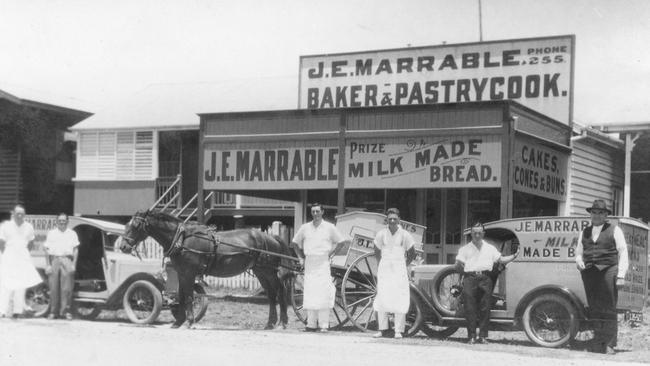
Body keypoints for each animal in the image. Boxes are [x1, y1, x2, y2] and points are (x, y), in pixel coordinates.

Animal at [120, 210, 294, 330]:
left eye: (135, 226)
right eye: (127, 225)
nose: (123, 246)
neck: (181, 238)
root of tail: (271, 237)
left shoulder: (189, 272)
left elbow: (189, 296)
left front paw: (189, 321)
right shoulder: (181, 273)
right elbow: (181, 295)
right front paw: (178, 321)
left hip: (268, 271)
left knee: (279, 292)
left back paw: (282, 322)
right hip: (261, 271)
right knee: (271, 295)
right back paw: (270, 323)